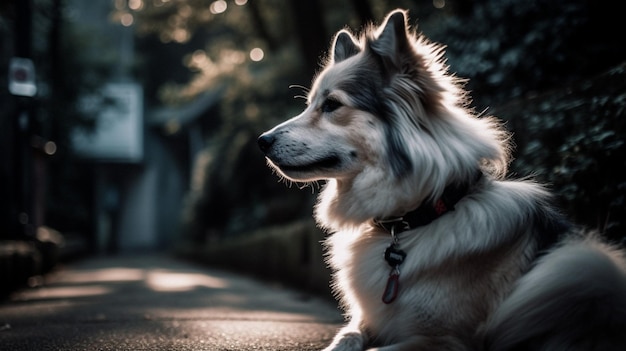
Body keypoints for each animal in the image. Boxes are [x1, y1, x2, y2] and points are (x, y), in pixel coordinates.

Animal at [256, 8, 624, 351]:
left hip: (577, 268)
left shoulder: (443, 340)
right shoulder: (364, 322)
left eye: (332, 104)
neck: (415, 218)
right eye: (310, 105)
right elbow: (345, 338)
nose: (261, 141)